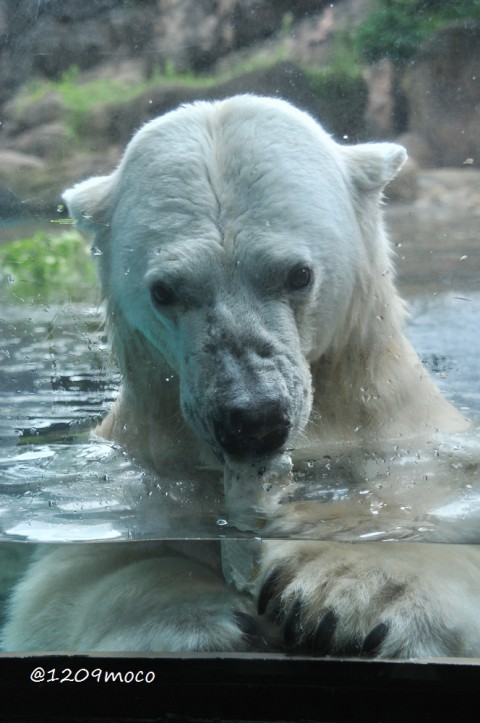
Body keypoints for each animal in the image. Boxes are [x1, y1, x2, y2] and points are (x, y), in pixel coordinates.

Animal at [3, 94, 480, 656]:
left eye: (299, 273)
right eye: (163, 290)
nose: (252, 418)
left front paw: (349, 589)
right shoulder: (128, 486)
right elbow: (64, 592)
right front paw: (201, 615)